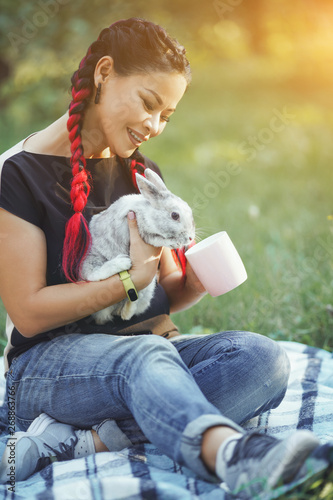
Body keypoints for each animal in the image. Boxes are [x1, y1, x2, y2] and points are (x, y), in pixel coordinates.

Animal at [80, 169, 195, 324]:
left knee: (129, 310)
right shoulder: (143, 231)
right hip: (92, 259)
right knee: (92, 275)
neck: (149, 211)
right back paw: (122, 262)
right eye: (175, 215)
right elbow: (157, 239)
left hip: (148, 288)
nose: (190, 238)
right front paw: (173, 243)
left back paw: (125, 310)